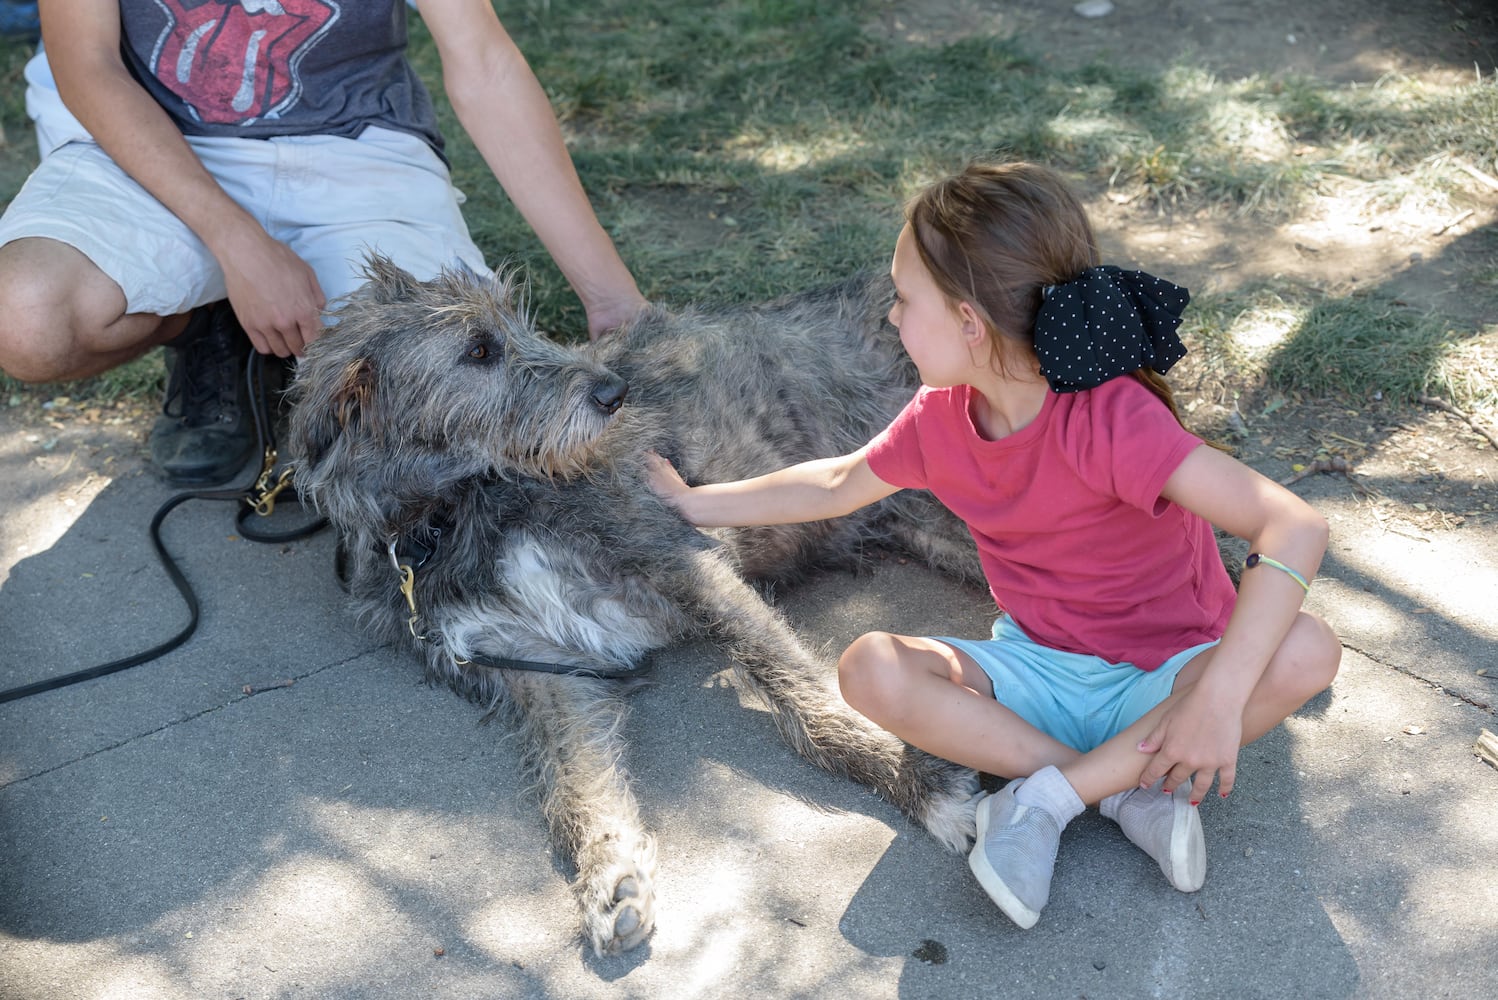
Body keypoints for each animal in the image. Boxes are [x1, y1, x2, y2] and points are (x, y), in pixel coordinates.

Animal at [283, 255, 982, 952]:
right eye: (478, 349)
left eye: (518, 321)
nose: (614, 393)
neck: (449, 515)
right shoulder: (532, 663)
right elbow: (572, 777)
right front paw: (610, 873)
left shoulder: (677, 557)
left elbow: (802, 695)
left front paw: (917, 782)